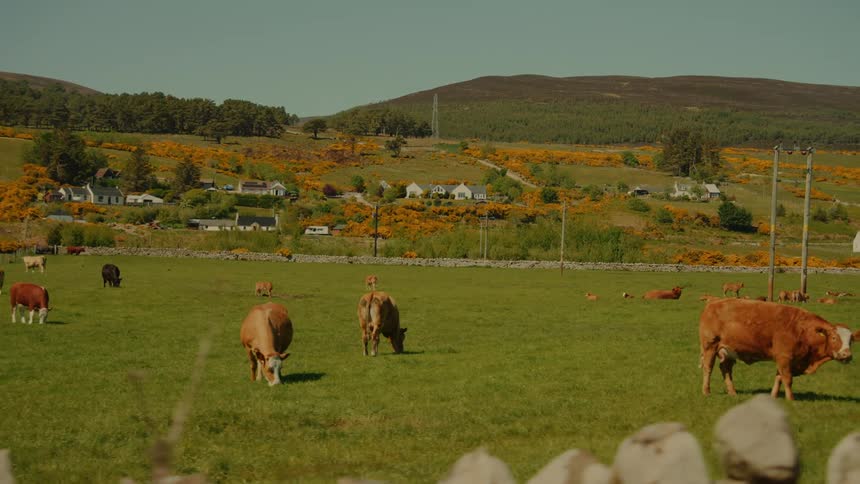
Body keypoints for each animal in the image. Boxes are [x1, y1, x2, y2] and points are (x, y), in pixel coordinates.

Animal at [699, 298, 858, 400]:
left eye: (851, 341)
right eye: (834, 338)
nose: (847, 355)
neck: (802, 329)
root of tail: (713, 303)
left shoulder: (786, 360)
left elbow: (779, 378)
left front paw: (773, 396)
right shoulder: (784, 357)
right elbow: (787, 379)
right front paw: (790, 399)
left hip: (729, 351)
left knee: (725, 369)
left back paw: (732, 392)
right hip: (710, 346)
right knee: (708, 367)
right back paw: (706, 391)